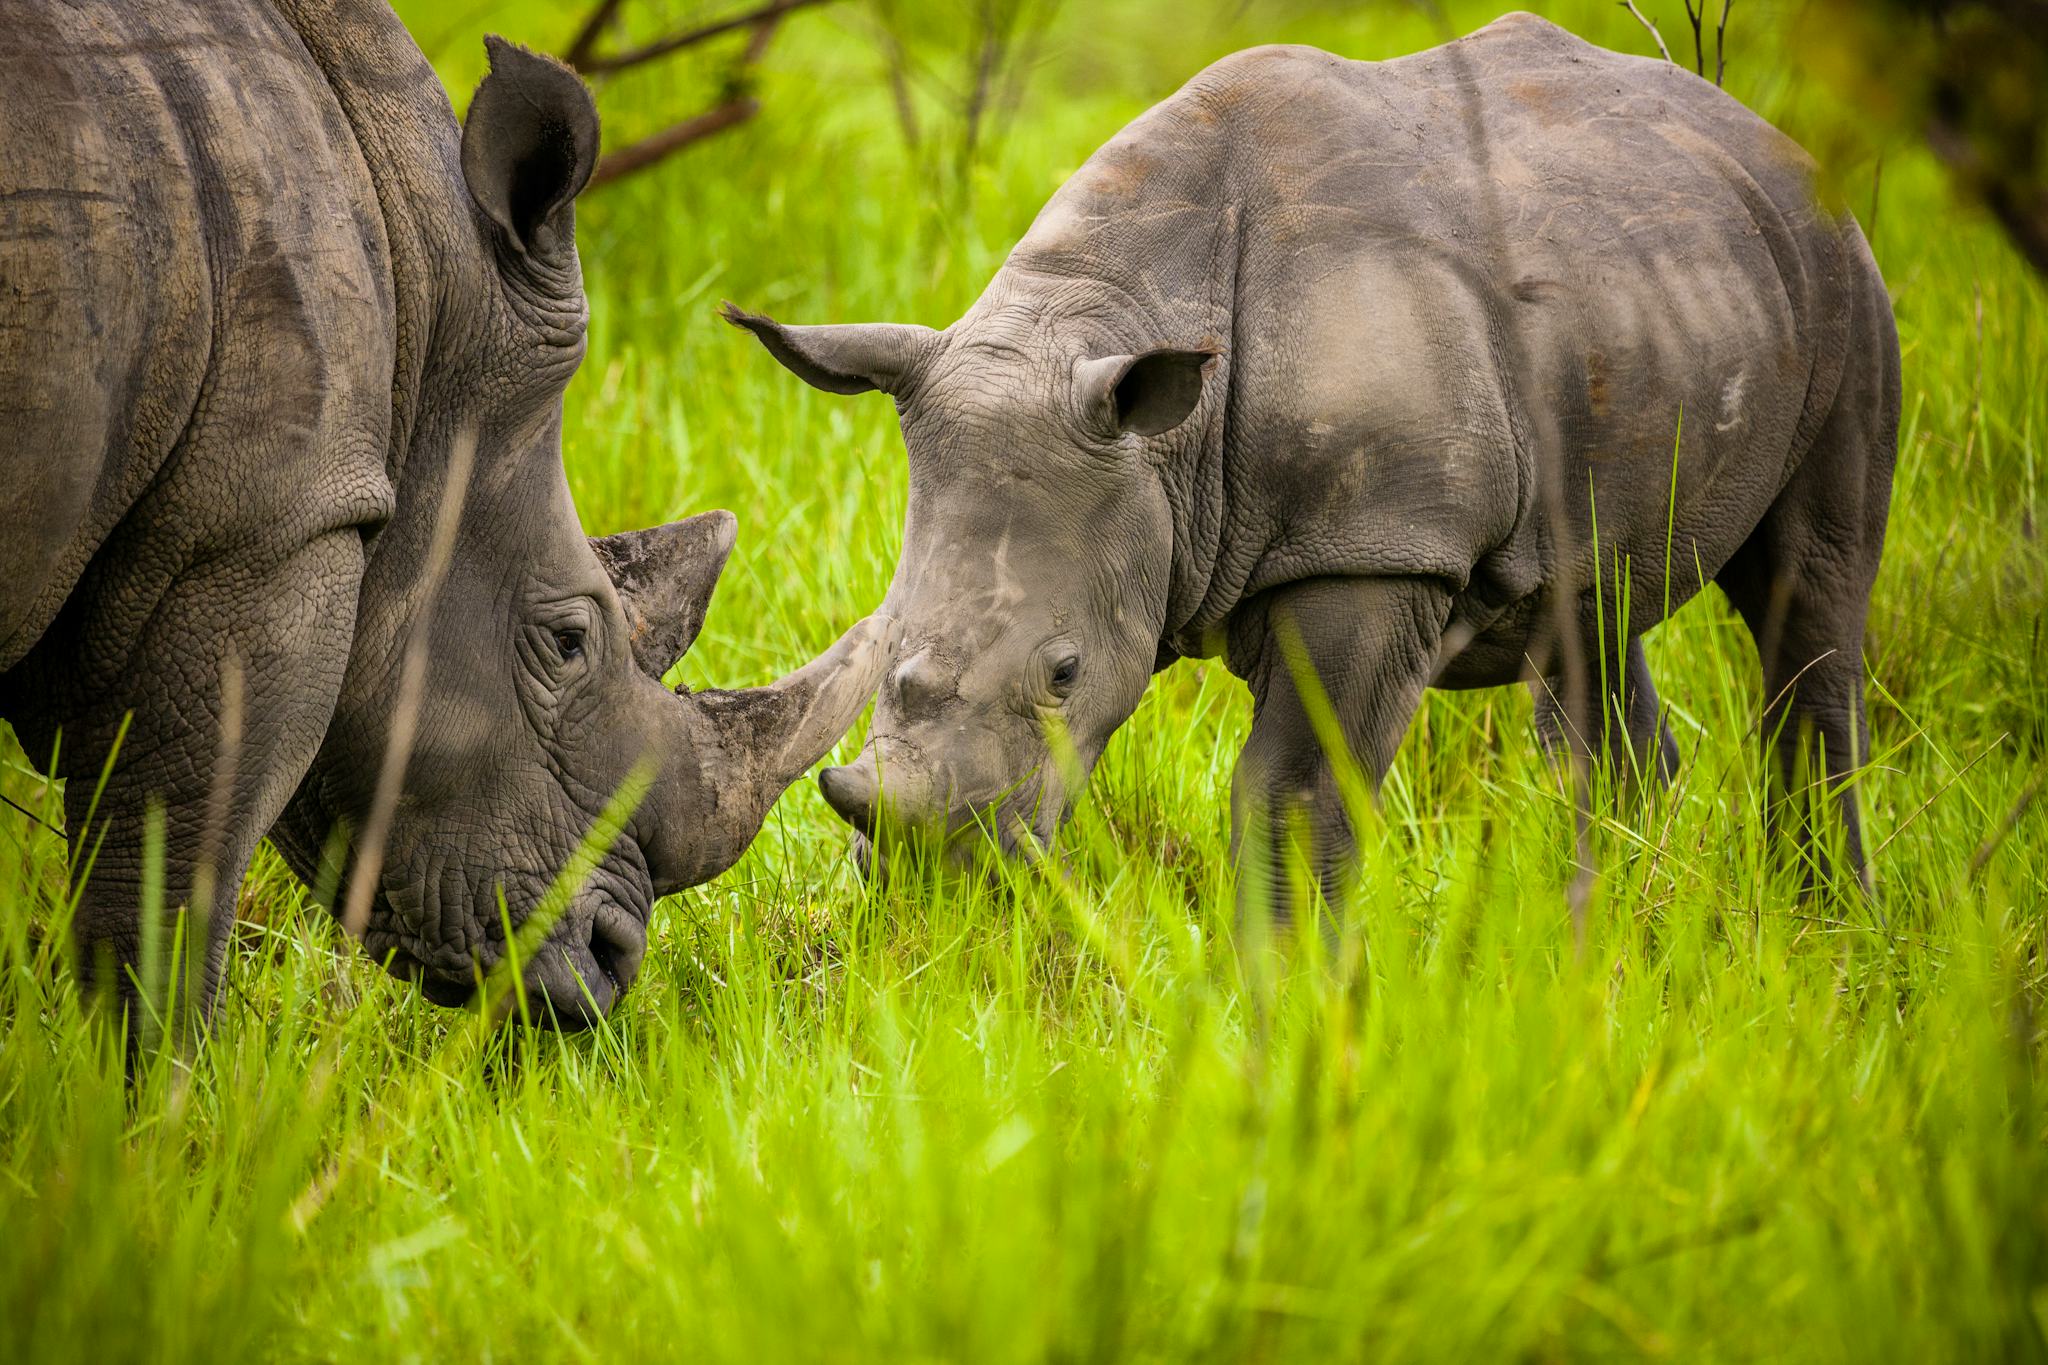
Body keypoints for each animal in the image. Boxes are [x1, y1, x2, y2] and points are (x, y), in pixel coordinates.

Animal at [2, 0, 897, 1023]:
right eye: (567, 644)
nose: (611, 961)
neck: (426, 294)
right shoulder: (264, 531)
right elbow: (166, 891)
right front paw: (143, 1072)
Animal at [729, 13, 1892, 908]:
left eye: (1063, 673)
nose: (934, 874)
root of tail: (1759, 130)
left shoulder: (1378, 547)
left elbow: (1290, 796)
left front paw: (1292, 1002)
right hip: (1656, 279)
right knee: (1592, 608)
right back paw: (1604, 937)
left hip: (1843, 276)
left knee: (1809, 598)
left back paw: (1823, 925)